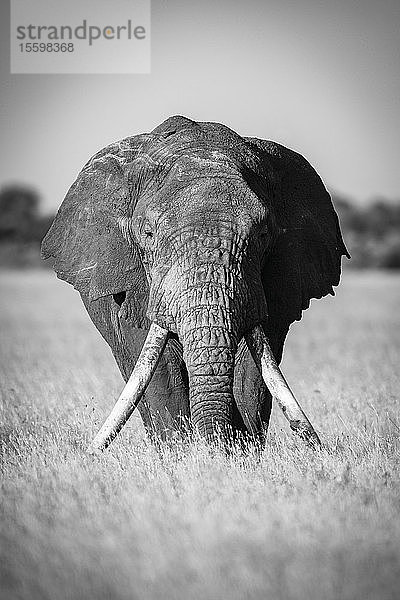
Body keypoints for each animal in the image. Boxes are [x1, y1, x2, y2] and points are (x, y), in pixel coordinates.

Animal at [42, 115, 348, 452]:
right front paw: (181, 454)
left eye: (264, 234)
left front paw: (239, 454)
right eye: (148, 233)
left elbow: (253, 371)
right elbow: (160, 365)